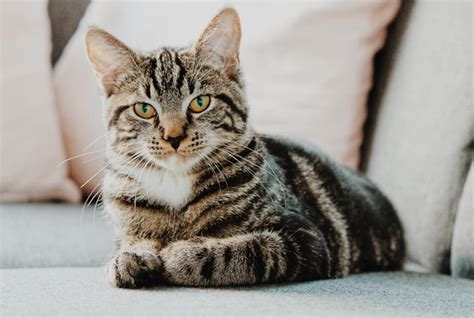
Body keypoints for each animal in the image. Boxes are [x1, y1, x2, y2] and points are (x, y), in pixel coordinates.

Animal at [84, 7, 404, 288]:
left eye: (200, 103)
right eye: (144, 109)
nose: (173, 136)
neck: (175, 184)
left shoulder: (305, 239)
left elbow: (239, 252)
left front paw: (178, 254)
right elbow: (131, 242)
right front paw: (129, 257)